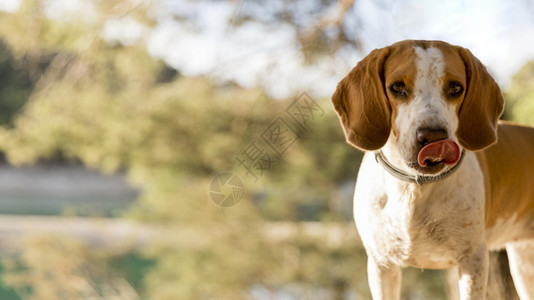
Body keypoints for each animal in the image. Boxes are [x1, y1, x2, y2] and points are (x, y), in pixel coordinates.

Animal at [332, 40, 534, 300]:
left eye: (455, 87)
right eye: (397, 86)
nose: (433, 137)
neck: (413, 188)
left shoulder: (473, 262)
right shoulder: (381, 265)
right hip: (523, 265)